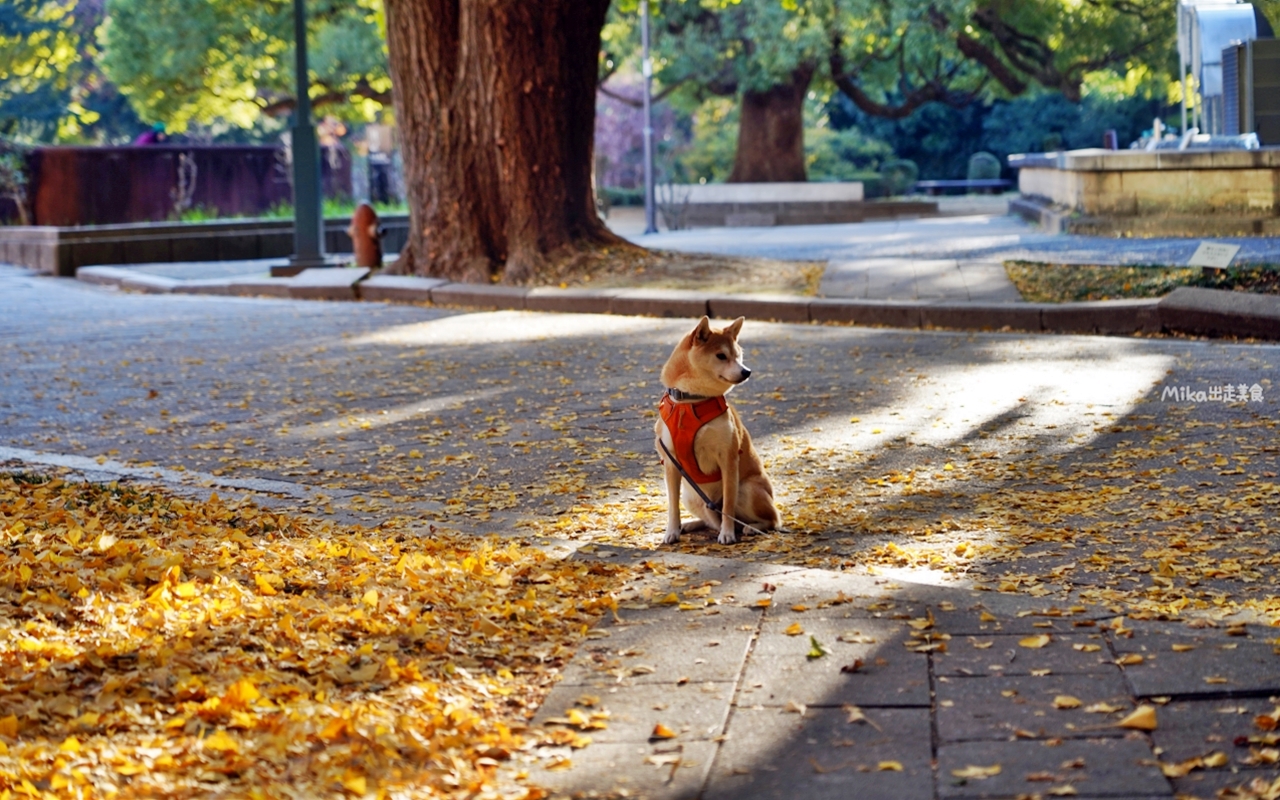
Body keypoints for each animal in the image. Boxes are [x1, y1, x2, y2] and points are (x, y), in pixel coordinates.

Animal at [655, 314, 773, 545]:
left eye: (738, 355)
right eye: (721, 356)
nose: (746, 371)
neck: (691, 402)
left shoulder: (728, 458)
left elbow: (728, 505)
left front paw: (727, 534)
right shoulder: (671, 463)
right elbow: (672, 506)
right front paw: (671, 531)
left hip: (747, 490)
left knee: (772, 520)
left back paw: (752, 528)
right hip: (692, 496)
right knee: (710, 520)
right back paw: (689, 525)